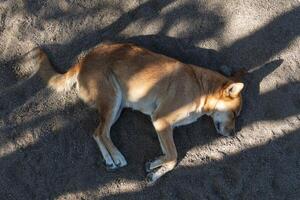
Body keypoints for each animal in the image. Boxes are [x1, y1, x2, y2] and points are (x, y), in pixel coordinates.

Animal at [33, 43, 244, 185]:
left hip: (118, 106)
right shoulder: (161, 121)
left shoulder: (164, 126)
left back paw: (109, 160)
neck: (201, 88)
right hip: (113, 99)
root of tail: (83, 60)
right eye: (235, 114)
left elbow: (170, 156)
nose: (233, 134)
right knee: (102, 132)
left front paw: (155, 167)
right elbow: (173, 156)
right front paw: (156, 166)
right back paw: (117, 156)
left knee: (97, 133)